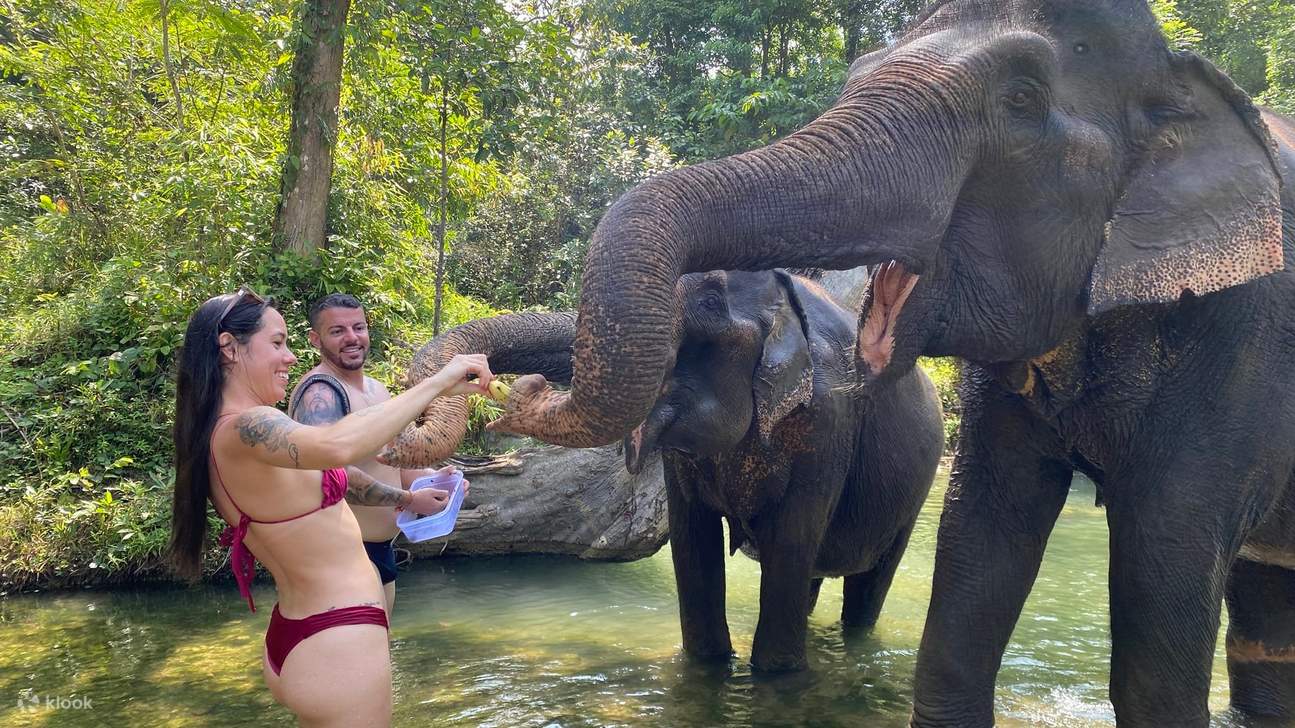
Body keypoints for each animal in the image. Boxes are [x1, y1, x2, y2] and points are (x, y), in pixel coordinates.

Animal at [390, 269, 944, 672]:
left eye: (704, 310)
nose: (490, 380)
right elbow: (693, 540)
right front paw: (708, 668)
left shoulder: (828, 423)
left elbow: (790, 540)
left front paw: (776, 675)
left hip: (914, 496)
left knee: (866, 588)